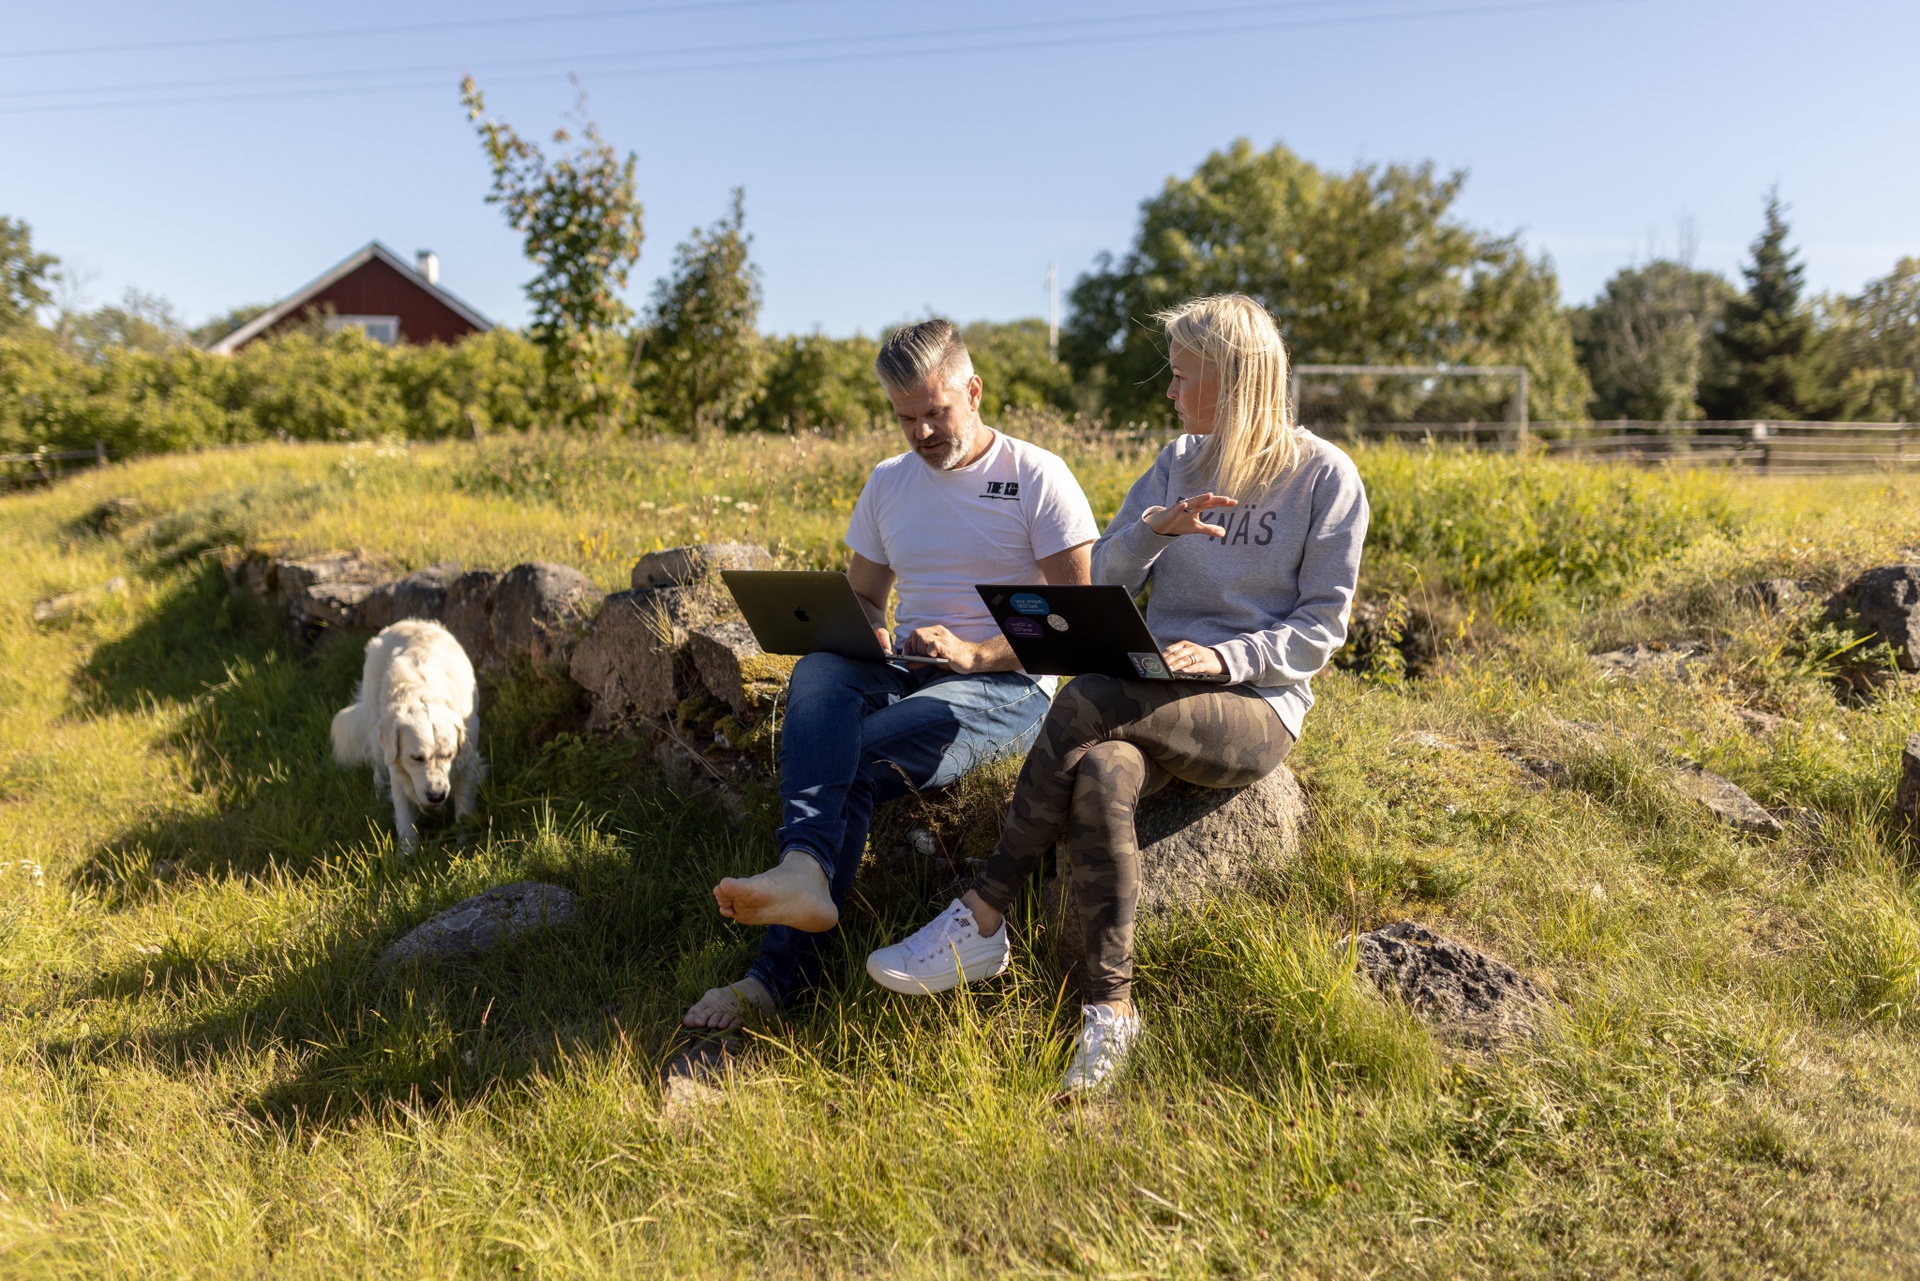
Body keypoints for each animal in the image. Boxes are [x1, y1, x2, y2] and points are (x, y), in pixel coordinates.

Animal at [330, 618, 483, 852]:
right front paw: (407, 855)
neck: (426, 696)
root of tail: (407, 622)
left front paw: (463, 847)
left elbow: (463, 812)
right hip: (378, 740)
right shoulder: (398, 768)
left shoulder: (467, 762)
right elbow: (404, 819)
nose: (436, 796)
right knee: (378, 772)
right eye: (416, 758)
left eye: (448, 755)